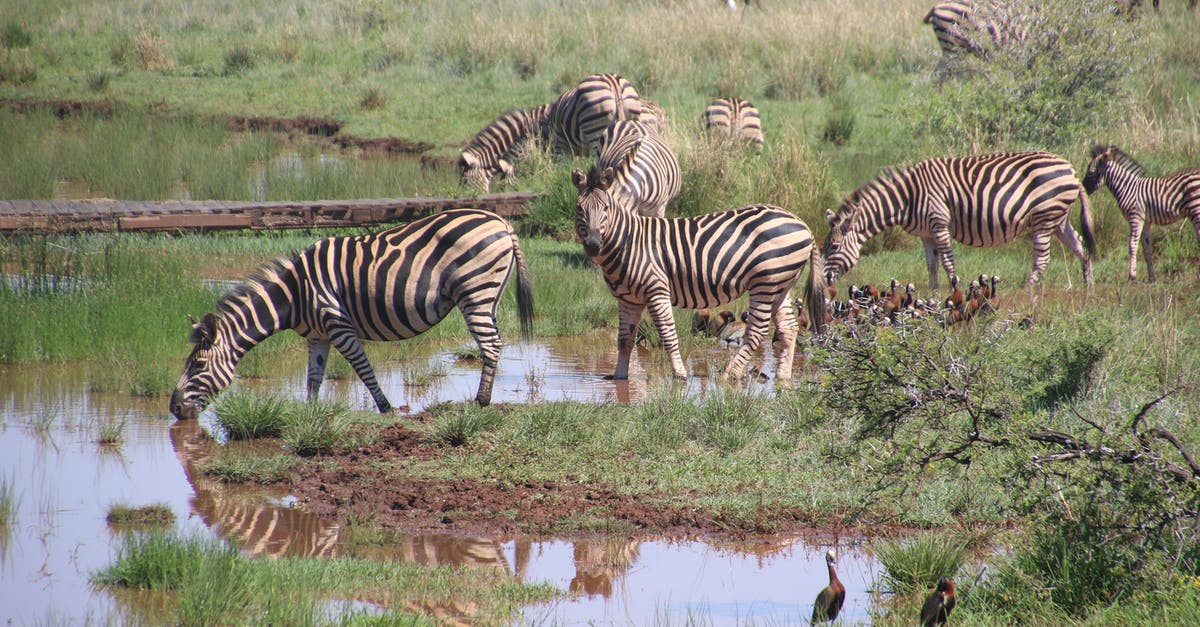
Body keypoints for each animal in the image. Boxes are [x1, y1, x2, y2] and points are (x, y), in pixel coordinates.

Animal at [169, 209, 534, 419]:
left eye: (198, 365)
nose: (174, 408)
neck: (295, 295)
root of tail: (501, 221)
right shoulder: (317, 336)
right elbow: (314, 377)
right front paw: (310, 413)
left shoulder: (338, 324)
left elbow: (363, 369)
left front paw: (385, 408)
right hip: (489, 295)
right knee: (494, 342)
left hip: (475, 290)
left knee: (490, 345)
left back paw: (480, 402)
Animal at [572, 166, 827, 383]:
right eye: (579, 209)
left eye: (606, 208)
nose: (593, 246)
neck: (628, 242)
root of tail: (803, 224)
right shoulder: (628, 299)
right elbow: (624, 340)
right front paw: (619, 377)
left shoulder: (657, 291)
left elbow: (667, 335)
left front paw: (680, 375)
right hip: (782, 283)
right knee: (789, 328)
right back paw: (783, 378)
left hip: (766, 282)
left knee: (757, 332)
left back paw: (729, 375)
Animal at [821, 151, 1096, 289]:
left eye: (833, 247)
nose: (822, 282)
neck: (908, 197)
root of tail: (1071, 170)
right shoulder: (925, 234)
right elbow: (931, 265)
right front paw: (932, 292)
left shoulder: (939, 223)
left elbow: (947, 261)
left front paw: (954, 289)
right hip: (1058, 219)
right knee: (1080, 246)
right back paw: (1088, 286)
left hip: (1044, 217)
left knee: (1042, 258)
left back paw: (1027, 290)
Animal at [1083, 145, 1200, 282]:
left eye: (1090, 172)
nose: (1082, 189)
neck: (1127, 187)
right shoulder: (1146, 221)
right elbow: (1147, 249)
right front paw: (1151, 278)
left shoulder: (1135, 217)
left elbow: (1132, 245)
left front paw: (1132, 276)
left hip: (1195, 208)